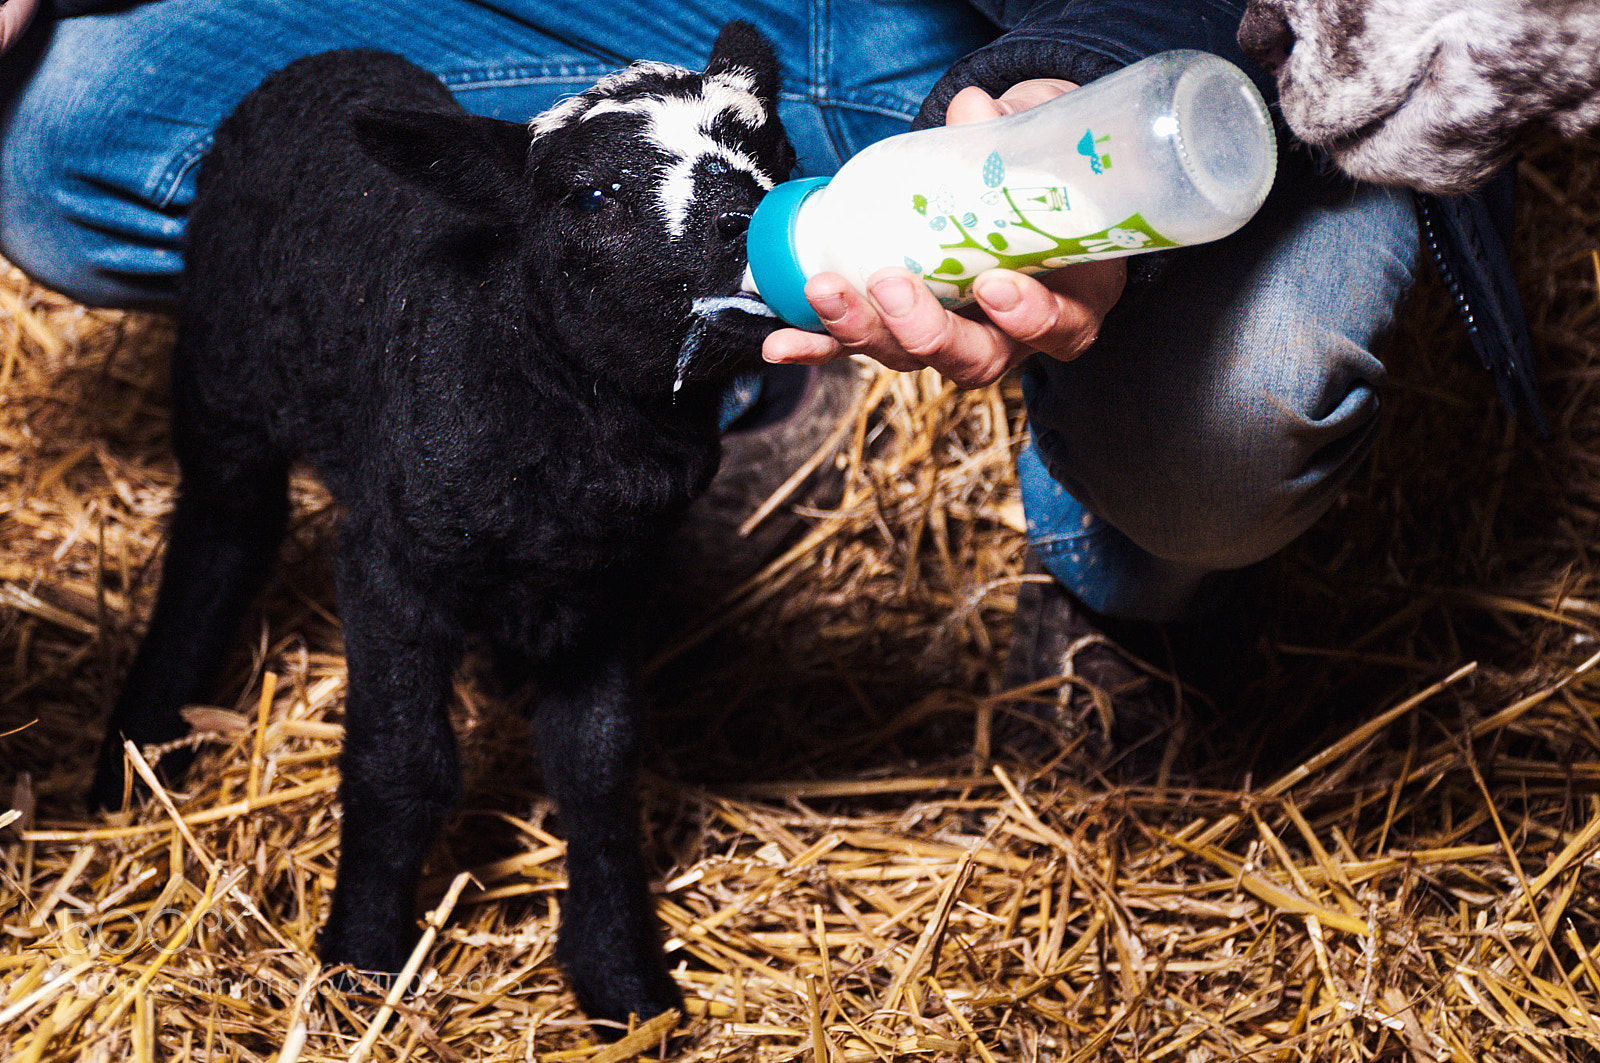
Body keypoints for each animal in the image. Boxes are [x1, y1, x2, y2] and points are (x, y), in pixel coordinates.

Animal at [91, 22, 794, 1027]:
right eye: (593, 195)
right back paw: (142, 740)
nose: (751, 221)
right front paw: (360, 961)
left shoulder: (609, 584)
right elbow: (403, 763)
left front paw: (621, 976)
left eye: (773, 144)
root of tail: (326, 59)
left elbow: (597, 760)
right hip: (223, 370)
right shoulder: (391, 564)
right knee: (223, 533)